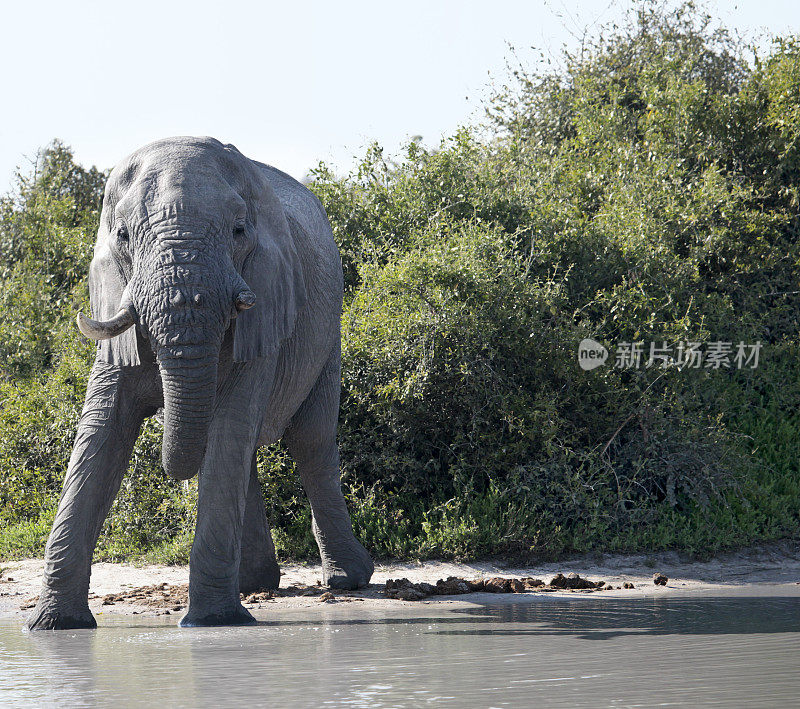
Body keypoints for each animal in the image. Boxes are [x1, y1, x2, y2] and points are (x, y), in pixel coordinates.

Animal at [25, 136, 374, 628]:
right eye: (123, 236)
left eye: (239, 231)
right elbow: (101, 432)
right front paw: (54, 627)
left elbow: (228, 429)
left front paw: (210, 624)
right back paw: (254, 584)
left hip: (329, 336)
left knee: (310, 440)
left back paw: (347, 580)